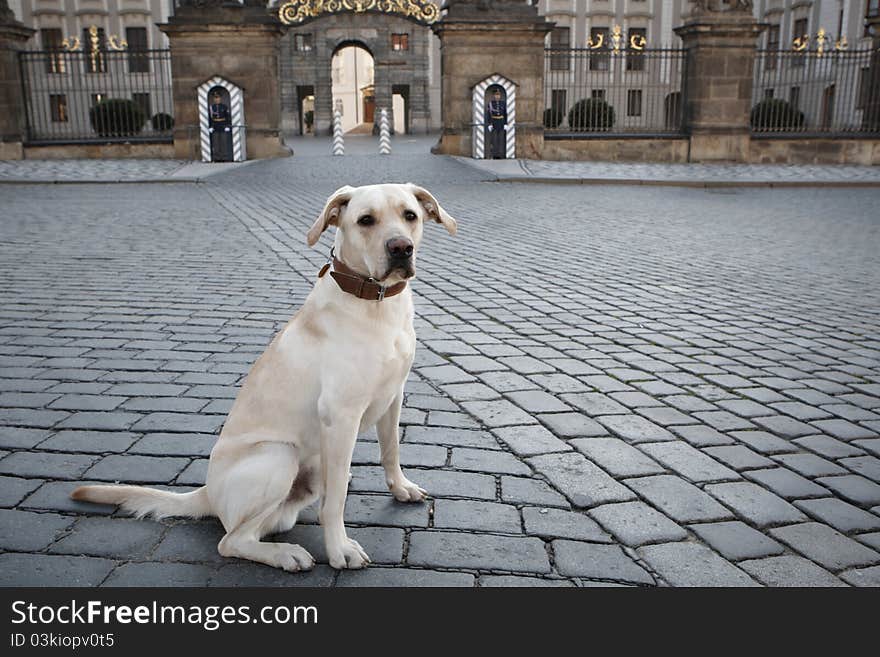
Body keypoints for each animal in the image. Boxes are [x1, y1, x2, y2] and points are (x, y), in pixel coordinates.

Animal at [72, 181, 458, 568]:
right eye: (366, 220)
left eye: (410, 215)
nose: (401, 248)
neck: (376, 303)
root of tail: (208, 493)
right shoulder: (340, 416)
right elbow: (334, 504)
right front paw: (339, 549)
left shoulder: (394, 395)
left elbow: (390, 449)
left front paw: (400, 487)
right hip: (279, 455)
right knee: (231, 541)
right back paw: (285, 554)